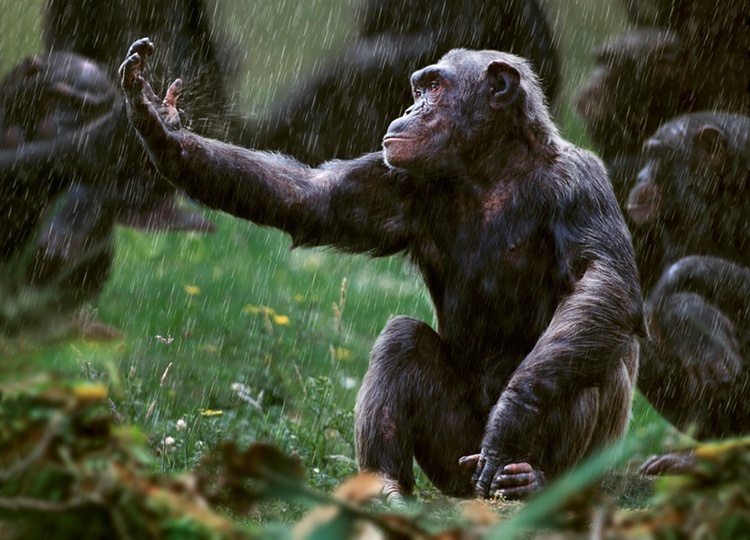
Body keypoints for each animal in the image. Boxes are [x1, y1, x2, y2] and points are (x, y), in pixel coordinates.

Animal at [118, 38, 643, 501]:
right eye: (419, 88)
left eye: (435, 87)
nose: (409, 111)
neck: (491, 168)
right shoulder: (400, 181)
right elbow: (312, 198)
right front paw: (159, 126)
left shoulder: (583, 185)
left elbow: (604, 283)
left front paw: (513, 417)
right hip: (453, 459)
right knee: (401, 339)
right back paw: (385, 485)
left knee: (588, 356)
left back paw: (533, 482)